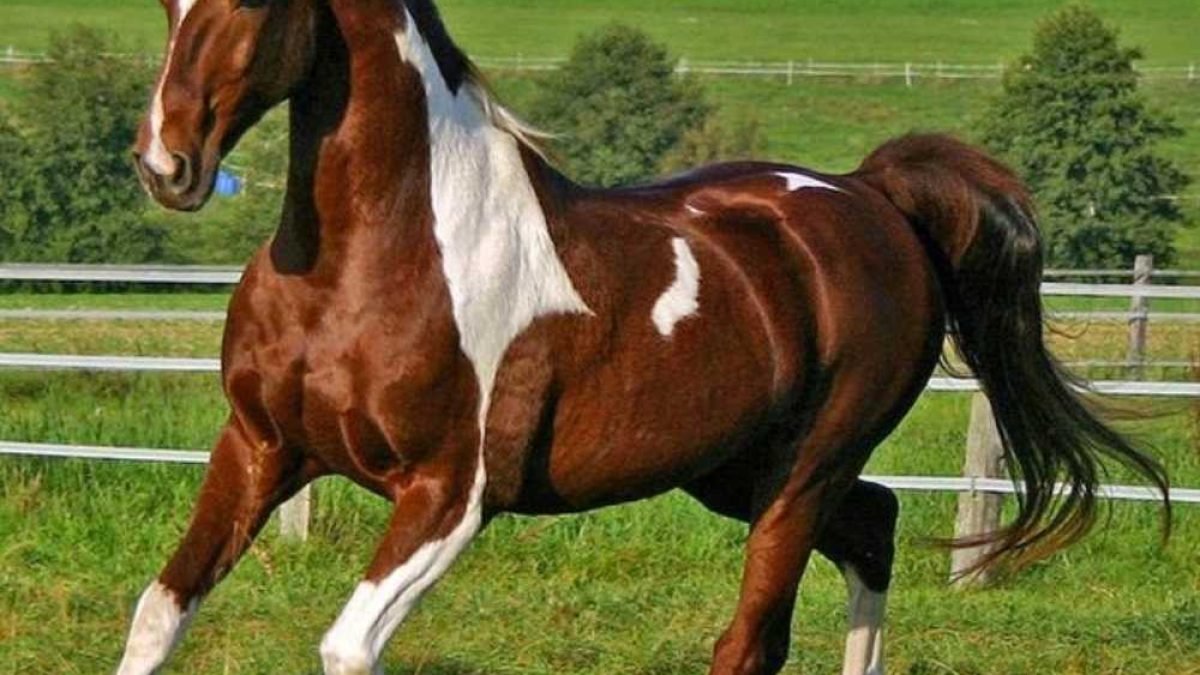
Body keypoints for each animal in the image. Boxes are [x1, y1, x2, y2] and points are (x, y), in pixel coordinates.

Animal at [119, 1, 1169, 674]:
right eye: (167, 0)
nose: (167, 162)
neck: (384, 249)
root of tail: (871, 195)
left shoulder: (448, 494)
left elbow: (346, 646)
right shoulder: (260, 447)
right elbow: (156, 614)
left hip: (805, 471)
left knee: (751, 640)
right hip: (732, 470)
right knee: (874, 529)